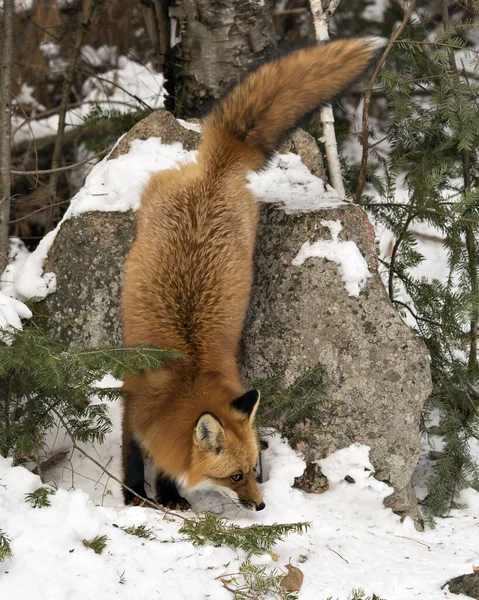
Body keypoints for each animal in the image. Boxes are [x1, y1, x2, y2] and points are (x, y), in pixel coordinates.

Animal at [121, 36, 386, 510]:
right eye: (235, 475)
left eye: (256, 467)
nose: (262, 504)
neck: (180, 382)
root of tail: (216, 173)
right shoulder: (129, 402)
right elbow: (132, 453)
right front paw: (134, 494)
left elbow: (169, 465)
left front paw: (168, 494)